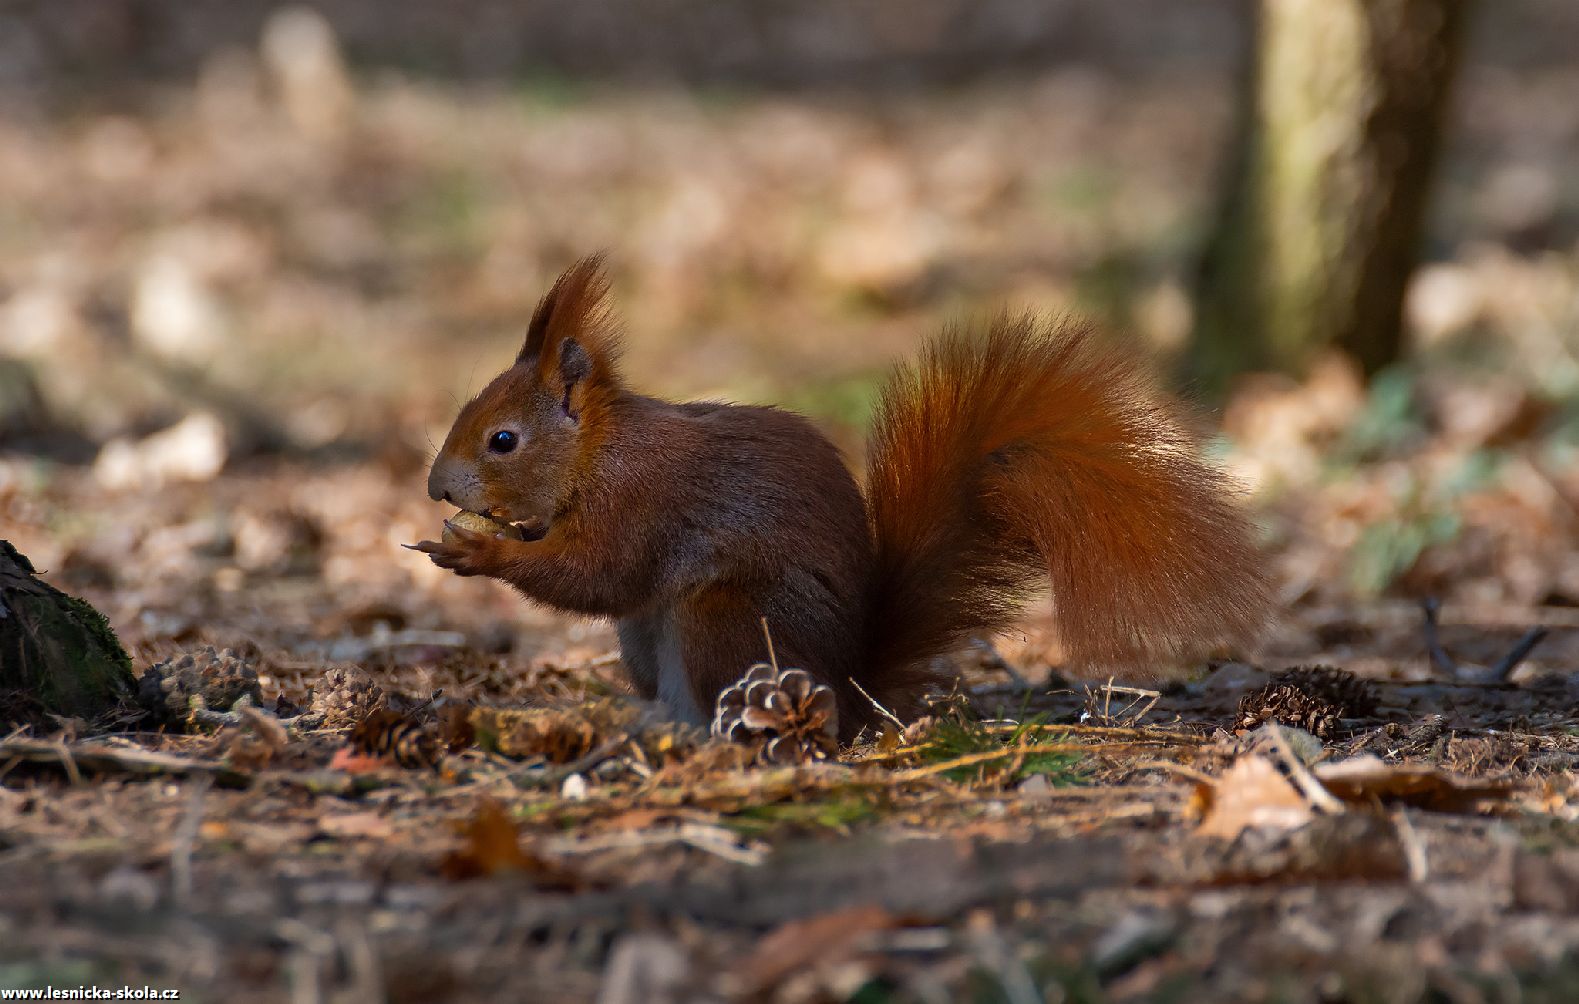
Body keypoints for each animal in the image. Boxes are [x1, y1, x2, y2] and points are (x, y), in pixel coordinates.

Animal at [416, 254, 1269, 732]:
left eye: (502, 440)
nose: (434, 487)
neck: (597, 450)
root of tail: (852, 688)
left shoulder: (640, 501)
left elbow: (597, 575)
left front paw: (479, 552)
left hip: (724, 618)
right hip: (646, 644)